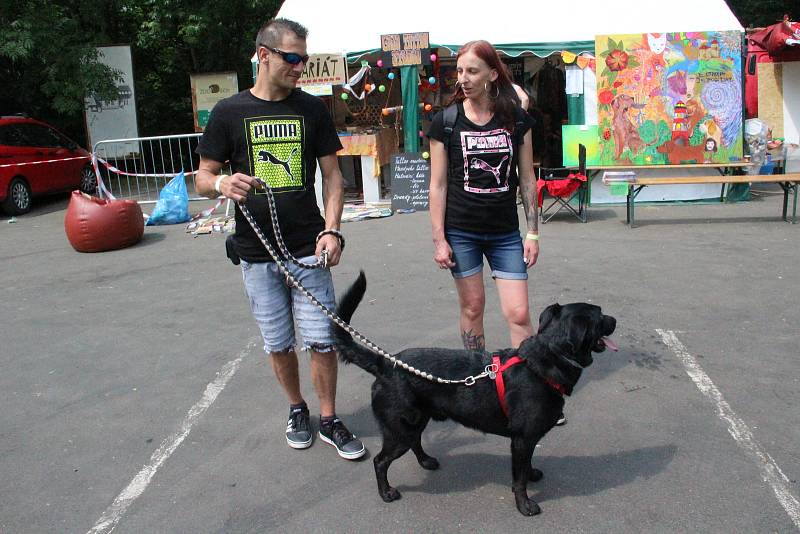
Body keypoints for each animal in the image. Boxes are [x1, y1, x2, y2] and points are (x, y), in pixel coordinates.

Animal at [332, 274, 620, 516]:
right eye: (600, 315)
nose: (616, 320)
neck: (545, 360)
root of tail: (385, 364)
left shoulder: (525, 441)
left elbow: (526, 467)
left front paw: (532, 473)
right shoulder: (522, 440)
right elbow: (518, 479)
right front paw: (524, 505)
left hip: (415, 421)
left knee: (415, 442)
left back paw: (426, 461)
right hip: (399, 429)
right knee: (380, 461)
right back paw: (386, 493)